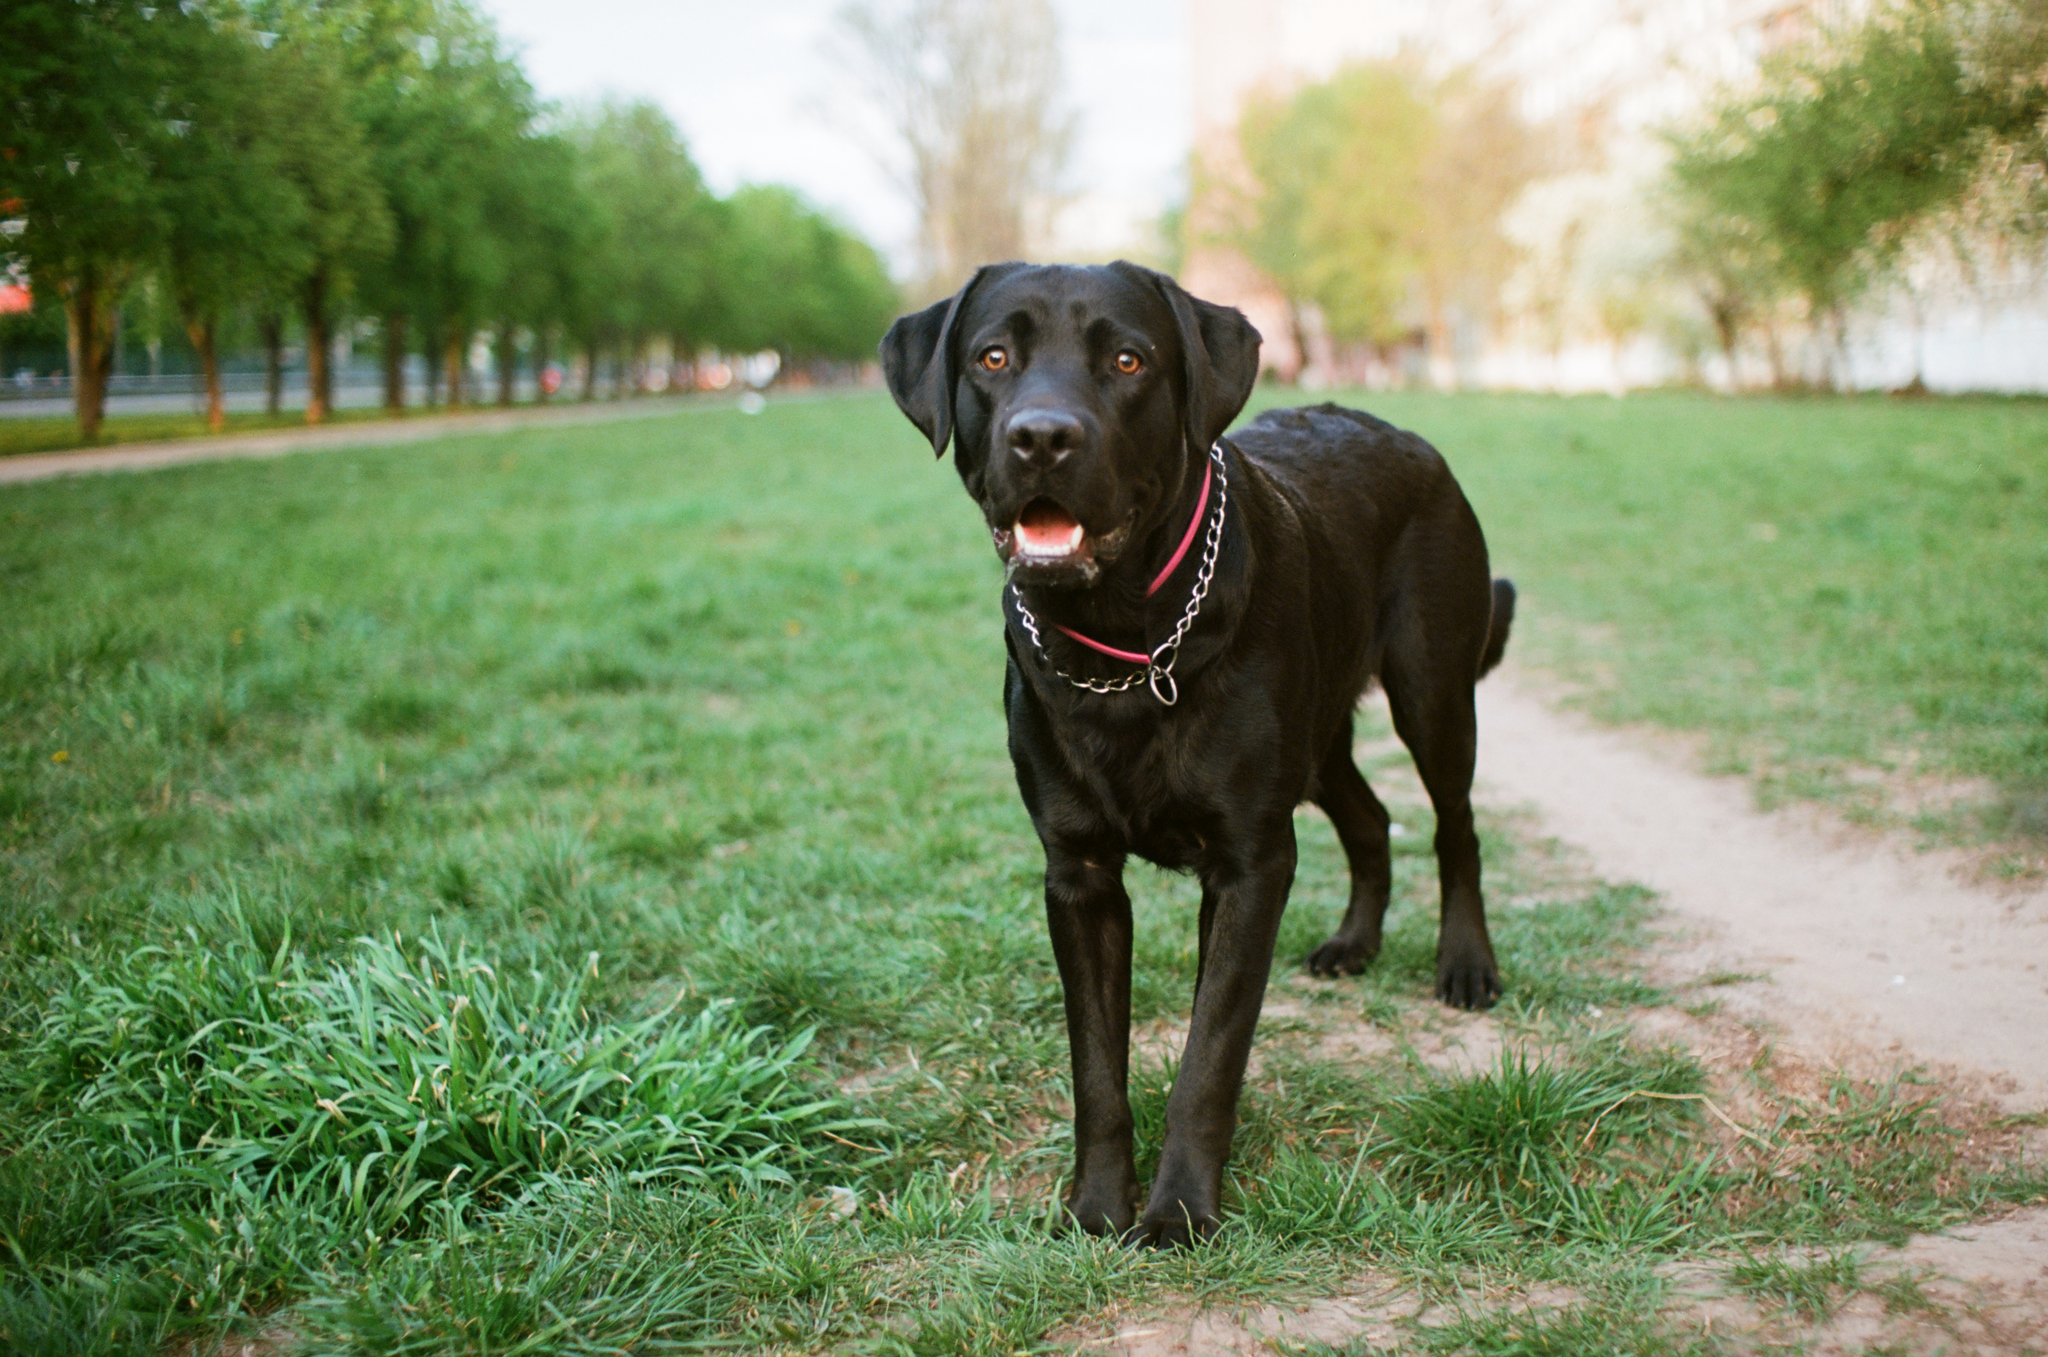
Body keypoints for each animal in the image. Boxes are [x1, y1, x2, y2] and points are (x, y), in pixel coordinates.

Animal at [872, 259, 1515, 1244]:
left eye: (1129, 359)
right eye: (992, 356)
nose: (1043, 437)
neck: (1122, 639)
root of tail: (1401, 431)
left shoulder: (1249, 863)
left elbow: (1209, 1057)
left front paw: (1177, 1212)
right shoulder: (1079, 876)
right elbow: (1097, 1068)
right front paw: (1097, 1207)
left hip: (1433, 693)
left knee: (1455, 828)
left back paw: (1467, 964)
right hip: (1321, 741)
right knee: (1371, 820)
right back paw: (1354, 942)